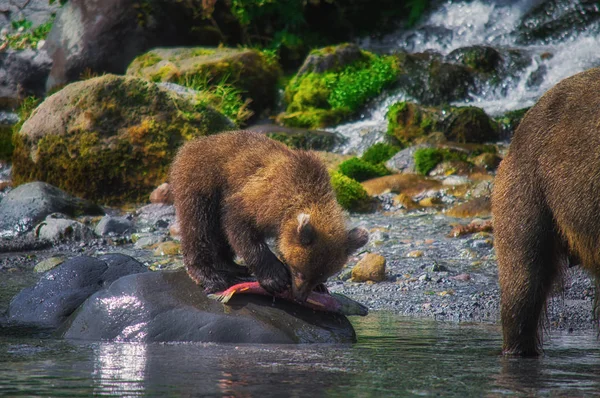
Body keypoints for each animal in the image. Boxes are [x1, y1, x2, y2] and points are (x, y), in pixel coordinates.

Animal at [166, 131, 368, 302]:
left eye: (321, 276)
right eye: (300, 272)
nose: (300, 298)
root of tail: (193, 143)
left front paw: (320, 288)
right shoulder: (263, 199)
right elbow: (240, 227)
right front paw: (276, 279)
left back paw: (235, 266)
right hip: (202, 184)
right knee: (200, 227)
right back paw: (211, 276)